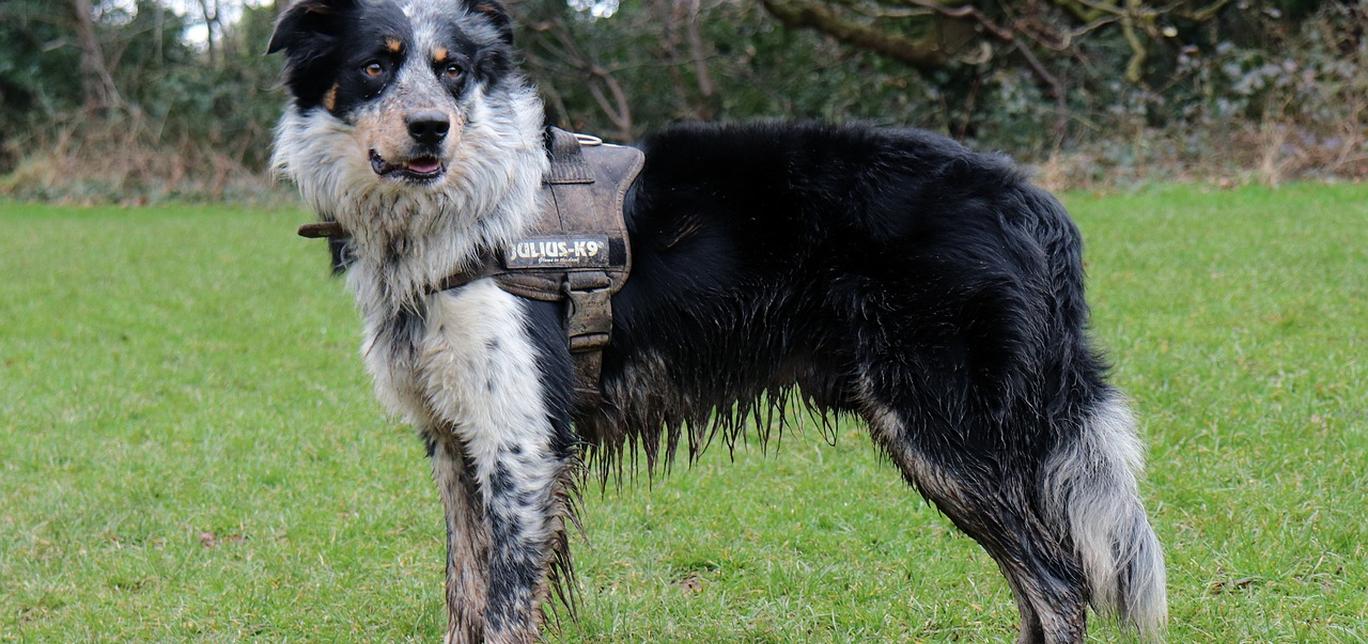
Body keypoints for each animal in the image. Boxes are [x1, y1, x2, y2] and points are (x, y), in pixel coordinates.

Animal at [272, 2, 1171, 642]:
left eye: (452, 72)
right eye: (374, 66)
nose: (431, 130)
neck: (462, 212)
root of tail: (1030, 199)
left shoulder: (522, 445)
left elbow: (501, 612)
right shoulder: (458, 444)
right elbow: (464, 600)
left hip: (947, 431)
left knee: (1060, 585)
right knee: (1040, 586)